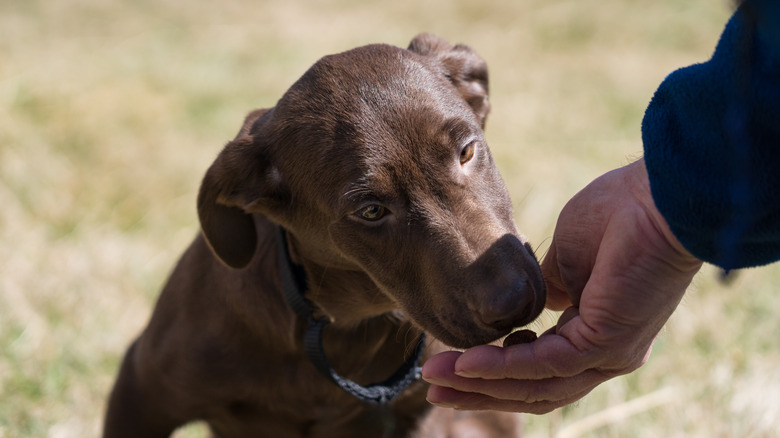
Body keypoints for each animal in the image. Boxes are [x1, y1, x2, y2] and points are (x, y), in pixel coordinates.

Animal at [102, 32, 544, 436]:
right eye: (370, 211)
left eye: (467, 151)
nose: (513, 303)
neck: (346, 326)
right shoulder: (141, 389)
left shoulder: (419, 412)